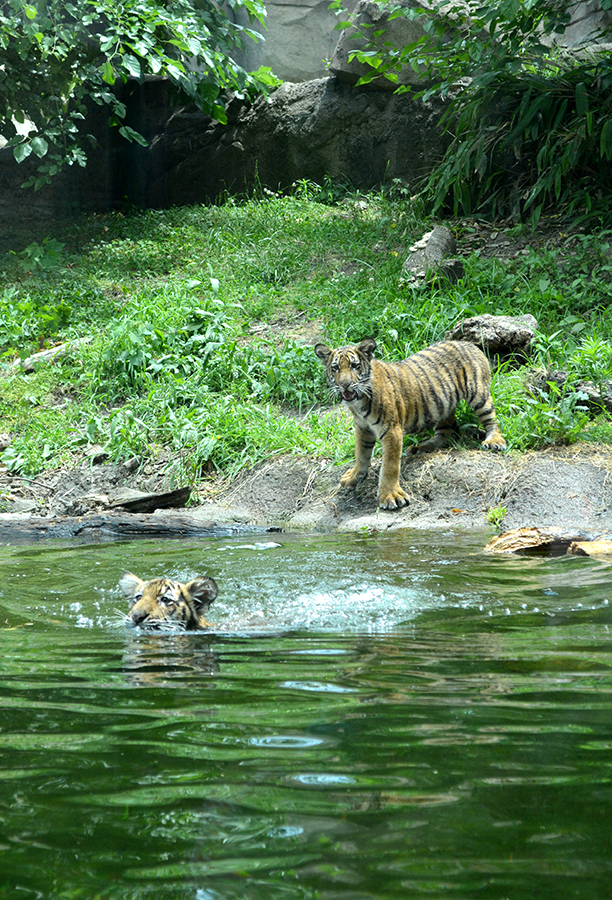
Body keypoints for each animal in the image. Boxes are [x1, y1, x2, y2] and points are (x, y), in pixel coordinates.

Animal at [315, 337, 506, 510]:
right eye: (335, 368)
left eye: (354, 366)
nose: (345, 384)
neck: (359, 402)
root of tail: (469, 344)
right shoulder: (363, 427)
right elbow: (361, 454)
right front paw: (354, 477)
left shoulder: (391, 429)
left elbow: (390, 466)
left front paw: (390, 496)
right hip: (441, 405)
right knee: (448, 432)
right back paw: (421, 447)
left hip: (477, 393)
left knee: (491, 419)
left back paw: (495, 441)